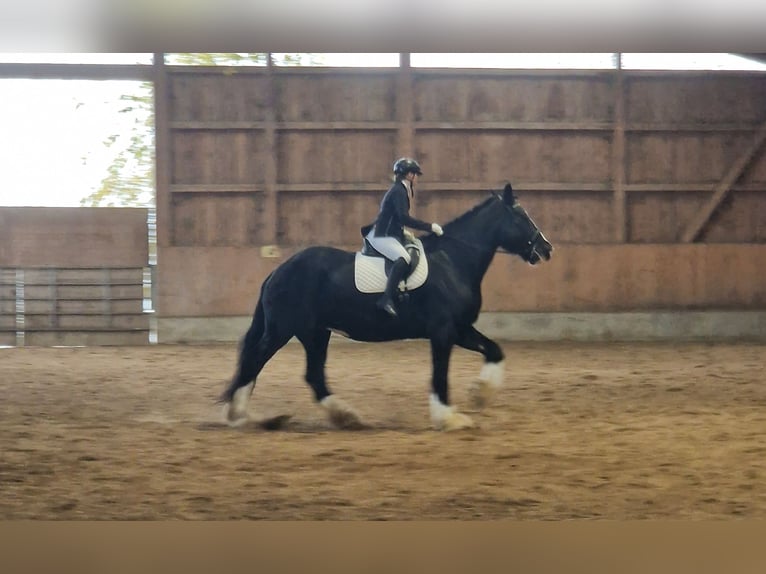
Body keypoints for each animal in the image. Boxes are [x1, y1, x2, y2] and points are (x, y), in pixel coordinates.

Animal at [222, 184, 552, 432]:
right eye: (522, 216)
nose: (546, 248)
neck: (453, 260)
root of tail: (278, 271)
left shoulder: (460, 329)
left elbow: (495, 350)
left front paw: (480, 394)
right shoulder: (443, 332)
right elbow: (440, 375)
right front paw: (449, 418)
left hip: (315, 333)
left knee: (313, 375)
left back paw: (346, 416)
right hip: (282, 330)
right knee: (254, 361)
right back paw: (239, 416)